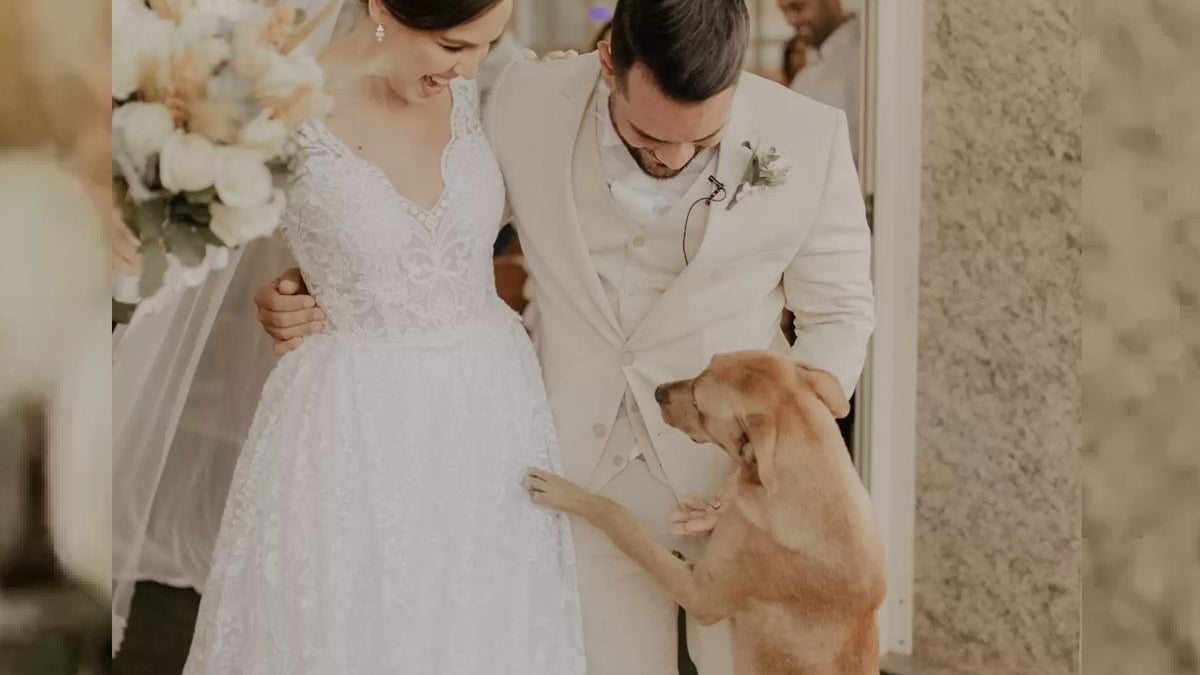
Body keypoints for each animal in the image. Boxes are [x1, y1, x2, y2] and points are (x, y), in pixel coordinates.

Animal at [528, 348, 892, 667]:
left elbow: (622, 520)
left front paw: (563, 491)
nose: (657, 391)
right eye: (706, 364)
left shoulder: (699, 594)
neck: (816, 486)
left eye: (699, 403)